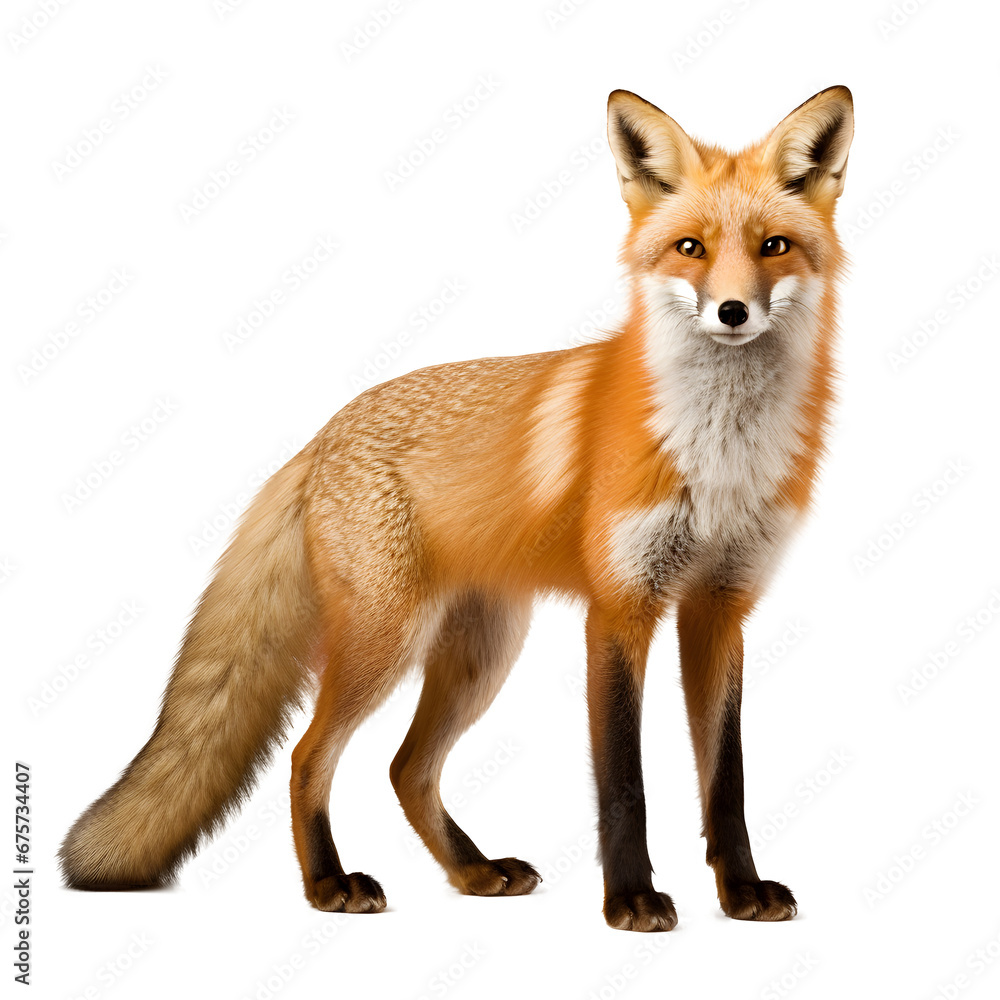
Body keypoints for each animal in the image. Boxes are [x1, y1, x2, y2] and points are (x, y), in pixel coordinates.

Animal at [60, 85, 854, 932]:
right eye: (690, 249)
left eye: (774, 247)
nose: (733, 311)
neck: (718, 461)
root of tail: (322, 434)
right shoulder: (620, 607)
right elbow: (623, 784)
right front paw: (631, 899)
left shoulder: (719, 606)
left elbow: (726, 781)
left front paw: (740, 891)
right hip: (387, 639)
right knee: (310, 757)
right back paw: (329, 884)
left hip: (482, 652)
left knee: (407, 768)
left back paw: (473, 872)